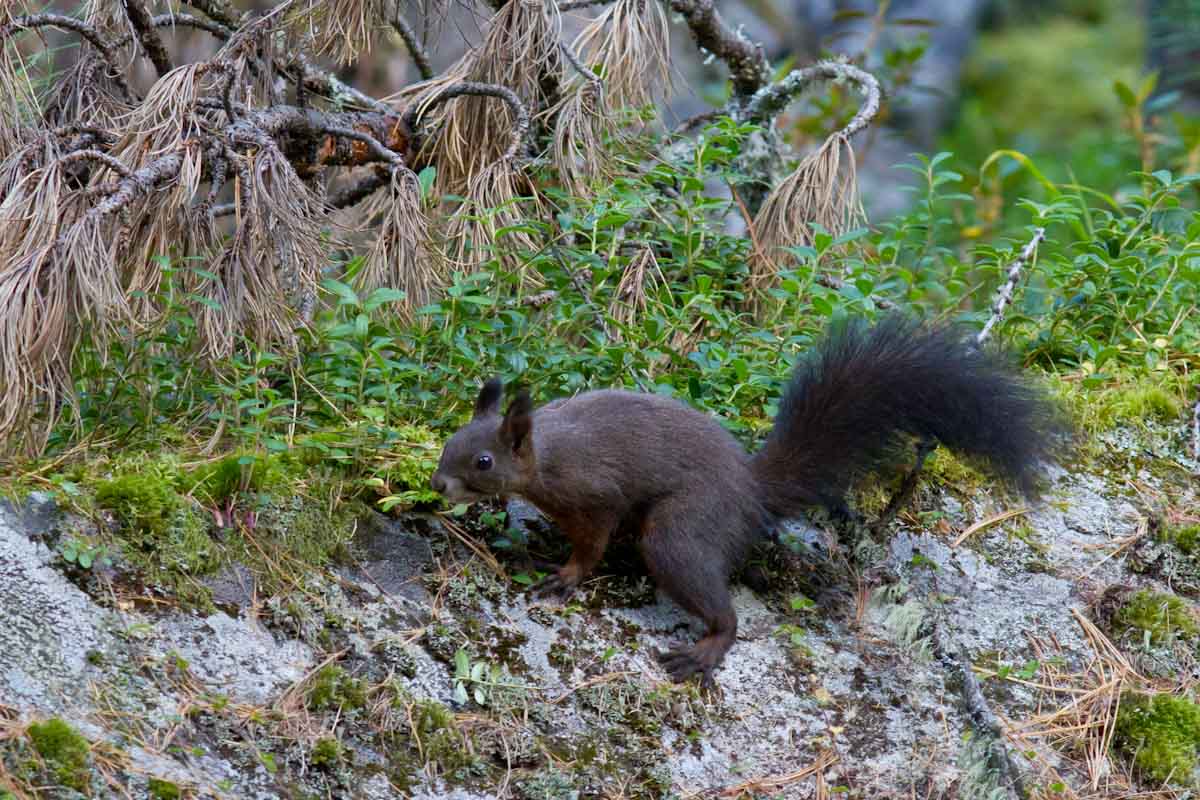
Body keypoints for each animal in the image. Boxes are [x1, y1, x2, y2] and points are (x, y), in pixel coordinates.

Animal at [432, 316, 1070, 686]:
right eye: (448, 442)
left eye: (483, 461)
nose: (437, 485)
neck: (546, 458)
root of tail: (749, 489)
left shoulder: (596, 495)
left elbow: (592, 543)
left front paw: (564, 576)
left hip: (681, 532)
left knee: (716, 600)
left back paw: (705, 649)